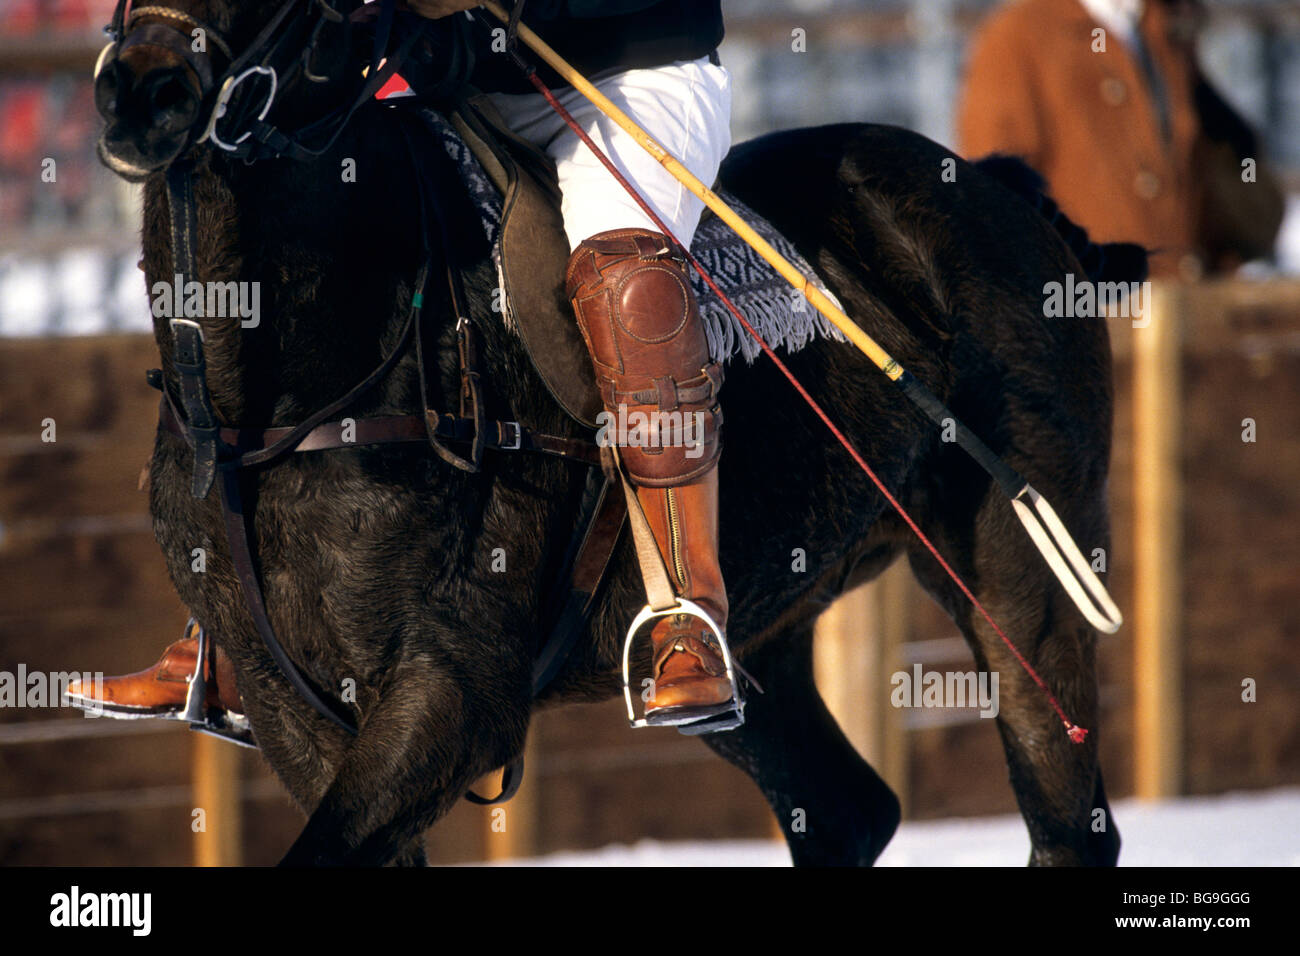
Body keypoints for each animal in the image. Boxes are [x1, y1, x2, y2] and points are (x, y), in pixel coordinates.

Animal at [93, 0, 1136, 866]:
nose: (140, 93)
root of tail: (999, 187)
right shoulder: (292, 710)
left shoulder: (452, 689)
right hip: (761, 633)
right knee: (845, 809)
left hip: (1019, 570)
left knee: (1064, 820)